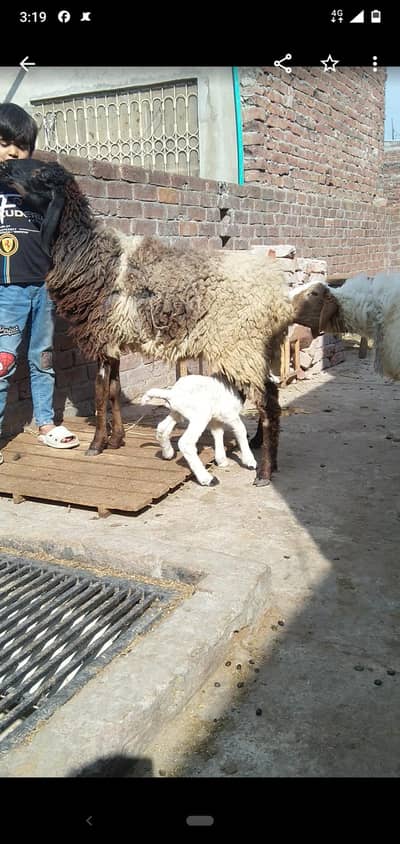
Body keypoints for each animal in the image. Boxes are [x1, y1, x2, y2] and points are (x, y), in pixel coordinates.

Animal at [0, 157, 307, 486]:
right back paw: (257, 444)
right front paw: (117, 439)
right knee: (271, 391)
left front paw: (96, 445)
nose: (6, 166)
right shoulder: (113, 338)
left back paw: (264, 471)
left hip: (240, 345)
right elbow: (114, 389)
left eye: (40, 174)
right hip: (261, 348)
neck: (86, 250)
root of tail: (277, 292)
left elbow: (99, 394)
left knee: (268, 403)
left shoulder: (102, 338)